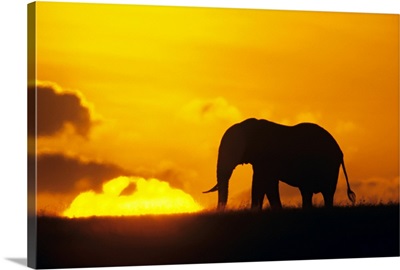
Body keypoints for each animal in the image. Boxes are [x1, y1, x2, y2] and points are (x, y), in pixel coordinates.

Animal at [205, 117, 354, 209]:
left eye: (233, 150)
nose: (220, 210)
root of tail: (340, 151)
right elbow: (264, 183)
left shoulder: (266, 158)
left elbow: (262, 183)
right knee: (307, 191)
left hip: (330, 167)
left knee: (327, 192)